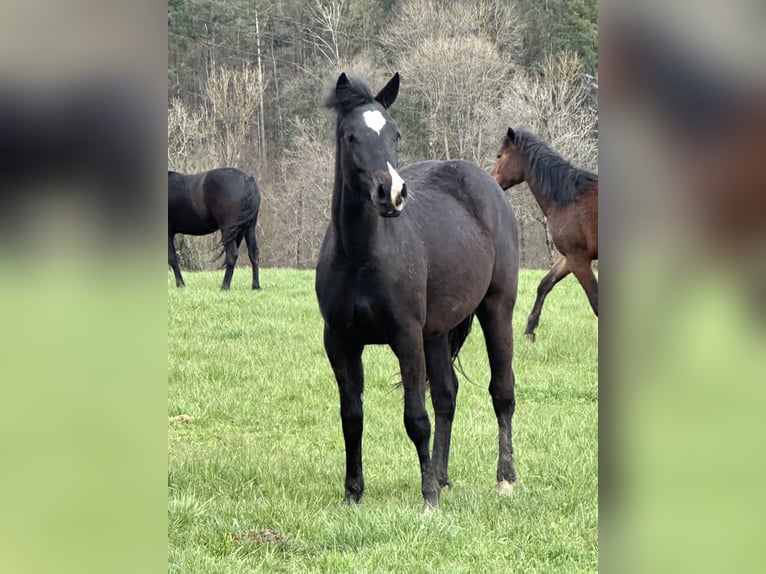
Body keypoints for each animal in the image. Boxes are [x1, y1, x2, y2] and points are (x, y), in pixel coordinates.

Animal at [315, 72, 520, 511]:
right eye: (352, 135)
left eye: (394, 132)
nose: (390, 193)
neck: (361, 256)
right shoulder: (339, 341)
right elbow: (352, 416)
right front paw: (353, 494)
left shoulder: (406, 336)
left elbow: (415, 418)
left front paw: (428, 501)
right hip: (438, 332)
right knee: (447, 395)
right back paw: (440, 475)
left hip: (497, 309)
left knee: (502, 391)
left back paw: (504, 479)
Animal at [490, 128, 598, 342]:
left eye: (500, 155)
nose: (491, 180)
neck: (567, 200)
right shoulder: (570, 257)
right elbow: (545, 284)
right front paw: (529, 330)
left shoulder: (579, 259)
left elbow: (595, 299)